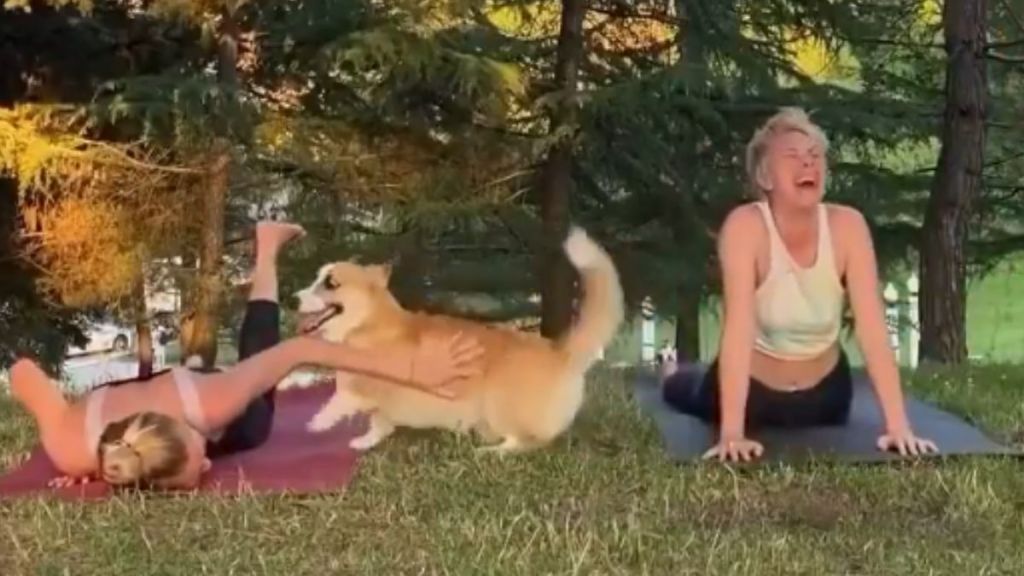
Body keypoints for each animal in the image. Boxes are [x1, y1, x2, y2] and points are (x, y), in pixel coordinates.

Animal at [292, 224, 618, 453]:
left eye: (331, 283)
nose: (294, 298)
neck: (367, 322)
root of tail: (561, 352)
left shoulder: (364, 388)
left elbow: (336, 403)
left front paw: (314, 425)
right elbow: (378, 424)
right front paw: (364, 441)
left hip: (499, 406)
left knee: (527, 442)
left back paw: (494, 452)